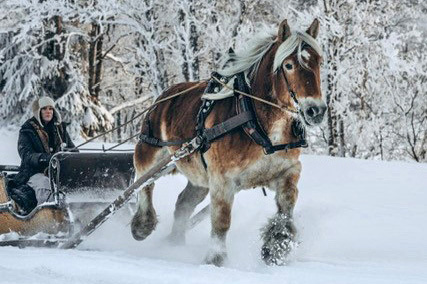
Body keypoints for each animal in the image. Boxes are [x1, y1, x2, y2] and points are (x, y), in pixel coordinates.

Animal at [132, 19, 326, 266]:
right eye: (289, 65)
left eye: (319, 62)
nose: (316, 110)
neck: (255, 121)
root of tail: (164, 96)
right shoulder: (222, 179)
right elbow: (221, 220)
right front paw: (215, 259)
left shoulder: (287, 170)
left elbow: (287, 204)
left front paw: (277, 244)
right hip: (151, 152)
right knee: (144, 182)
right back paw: (142, 225)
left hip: (199, 176)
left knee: (183, 203)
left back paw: (175, 242)